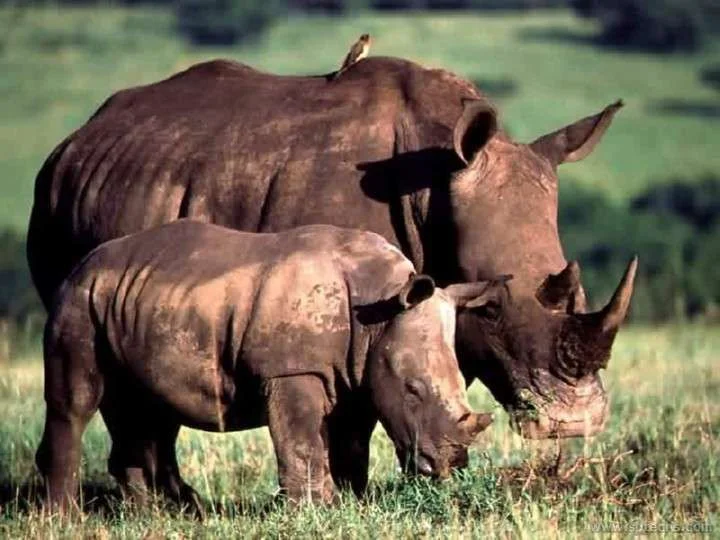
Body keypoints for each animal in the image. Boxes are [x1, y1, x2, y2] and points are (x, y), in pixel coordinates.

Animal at [37, 220, 494, 510]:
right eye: (413, 389)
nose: (451, 464)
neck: (378, 305)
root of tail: (82, 264)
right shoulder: (292, 370)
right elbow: (302, 441)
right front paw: (314, 511)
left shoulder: (355, 373)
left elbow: (342, 444)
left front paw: (344, 504)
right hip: (78, 299)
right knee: (76, 403)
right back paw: (65, 520)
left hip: (128, 302)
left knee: (142, 412)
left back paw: (152, 517)